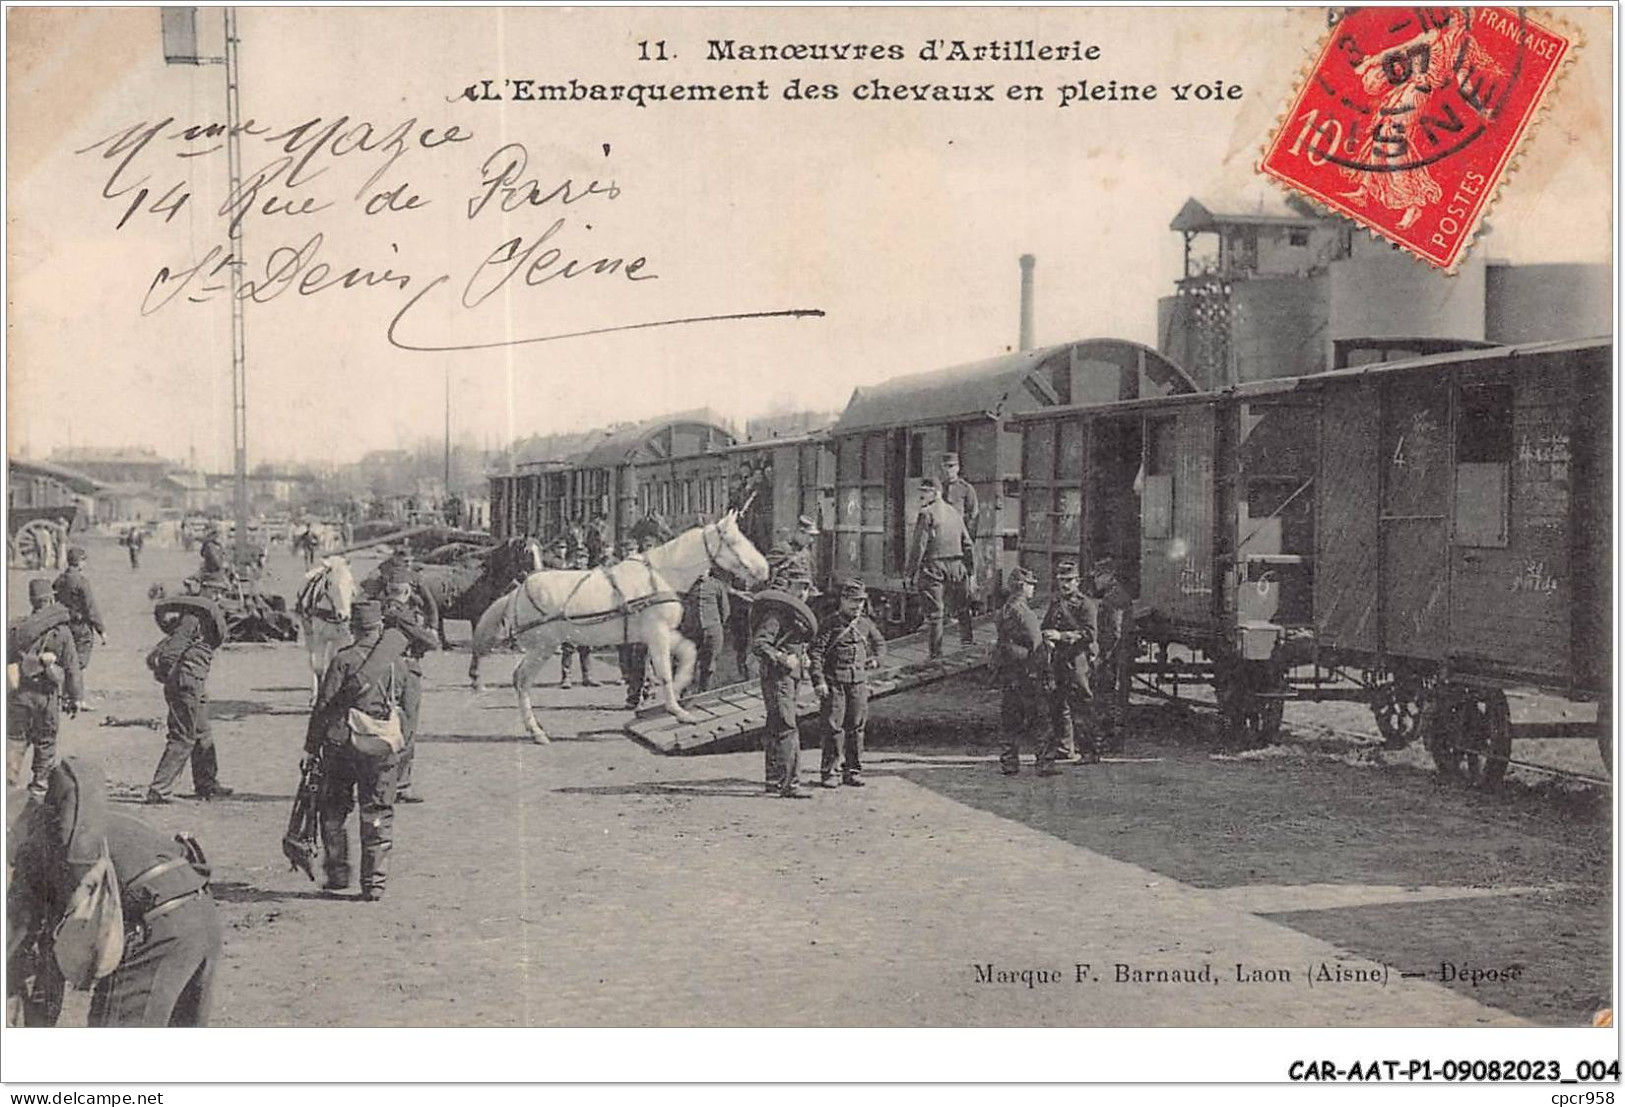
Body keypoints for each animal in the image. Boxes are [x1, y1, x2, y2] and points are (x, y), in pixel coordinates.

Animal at [294, 555, 357, 702]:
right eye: (330, 583)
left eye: (350, 582)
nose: (344, 616)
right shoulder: (319, 639)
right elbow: (318, 669)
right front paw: (318, 698)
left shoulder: (341, 638)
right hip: (309, 634)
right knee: (312, 660)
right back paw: (313, 693)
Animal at [474, 510, 770, 741]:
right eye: (733, 540)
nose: (764, 569)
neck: (659, 575)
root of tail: (518, 591)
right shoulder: (657, 634)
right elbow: (665, 670)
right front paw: (679, 711)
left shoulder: (659, 635)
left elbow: (687, 654)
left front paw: (679, 691)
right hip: (543, 647)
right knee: (521, 680)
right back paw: (536, 732)